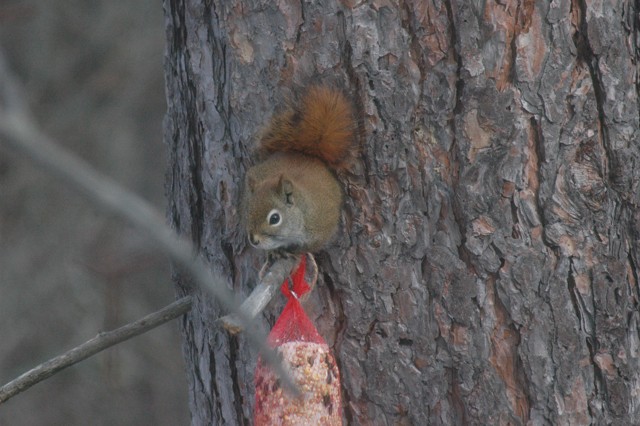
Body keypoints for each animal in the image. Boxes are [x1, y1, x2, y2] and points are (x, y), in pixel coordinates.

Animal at [242, 86, 356, 253]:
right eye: (249, 210)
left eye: (274, 219)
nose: (254, 240)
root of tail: (307, 155)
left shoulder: (322, 226)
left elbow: (313, 246)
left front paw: (297, 253)